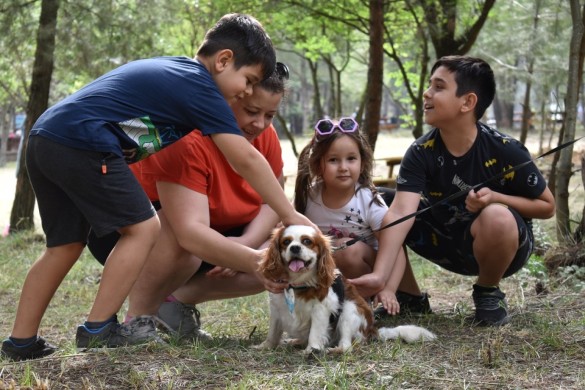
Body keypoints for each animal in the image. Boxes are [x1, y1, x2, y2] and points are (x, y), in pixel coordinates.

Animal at [253, 224, 436, 354]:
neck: (298, 284)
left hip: (350, 309)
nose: (295, 248)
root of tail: (372, 330)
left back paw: (334, 350)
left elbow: (315, 332)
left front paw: (311, 350)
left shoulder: (322, 309)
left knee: (347, 346)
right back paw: (295, 341)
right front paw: (266, 346)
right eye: (286, 242)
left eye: (307, 242)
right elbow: (273, 331)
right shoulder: (277, 309)